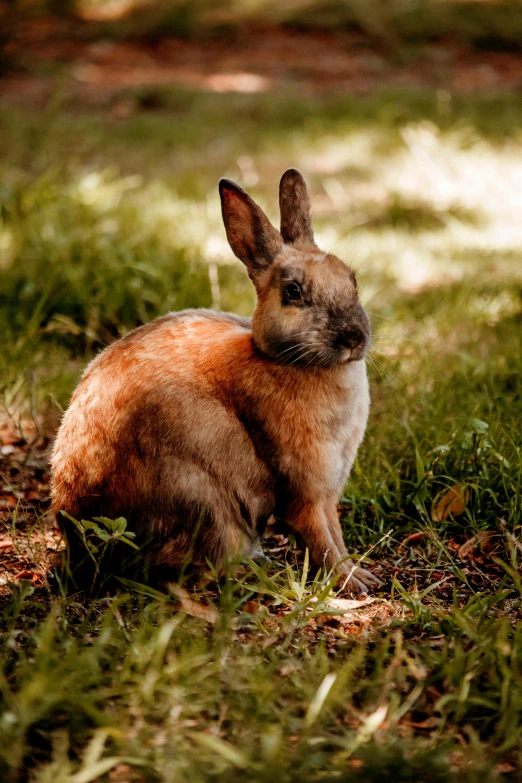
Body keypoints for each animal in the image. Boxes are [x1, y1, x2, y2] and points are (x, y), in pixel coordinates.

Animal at [50, 167, 378, 596]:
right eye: (293, 292)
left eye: (352, 279)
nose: (354, 338)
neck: (284, 360)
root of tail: (81, 541)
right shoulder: (304, 489)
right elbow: (319, 538)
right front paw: (350, 582)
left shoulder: (327, 491)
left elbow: (334, 533)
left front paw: (361, 575)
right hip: (201, 502)